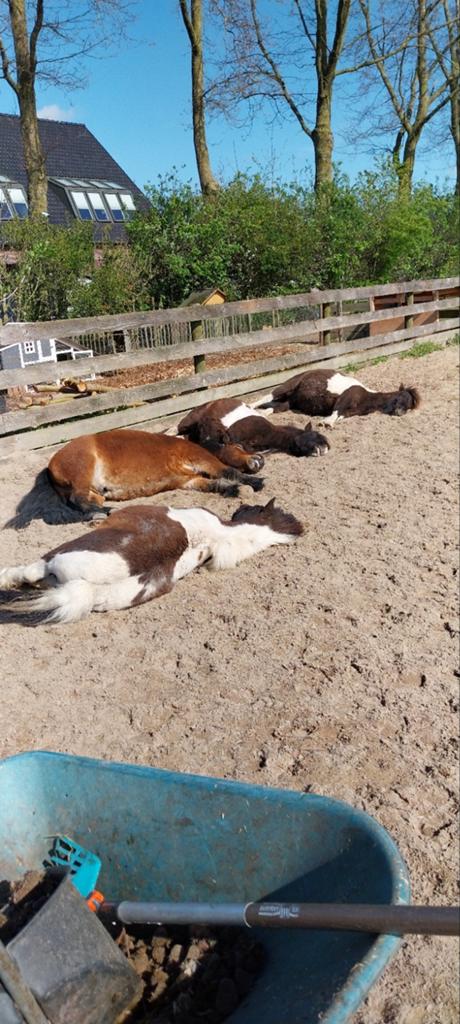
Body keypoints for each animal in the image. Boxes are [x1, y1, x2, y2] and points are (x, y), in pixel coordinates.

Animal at [7, 428, 265, 528]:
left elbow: (215, 484)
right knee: (77, 499)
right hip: (83, 471)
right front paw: (255, 483)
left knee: (83, 503)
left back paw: (103, 512)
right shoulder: (203, 460)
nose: (259, 460)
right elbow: (228, 471)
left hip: (93, 490)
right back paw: (103, 514)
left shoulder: (188, 480)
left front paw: (233, 490)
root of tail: (52, 463)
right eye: (237, 445)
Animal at [252, 369, 421, 427]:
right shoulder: (344, 399)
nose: (400, 413)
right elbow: (336, 412)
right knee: (267, 396)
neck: (366, 397)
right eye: (401, 397)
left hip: (291, 402)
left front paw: (329, 422)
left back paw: (261, 414)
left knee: (275, 407)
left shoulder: (350, 412)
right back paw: (251, 406)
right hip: (289, 385)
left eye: (410, 405)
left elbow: (340, 416)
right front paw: (325, 423)